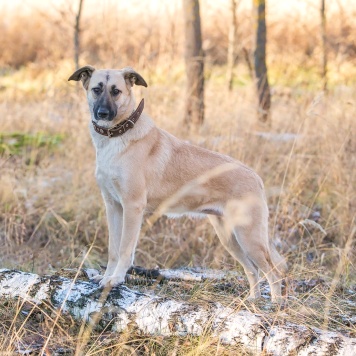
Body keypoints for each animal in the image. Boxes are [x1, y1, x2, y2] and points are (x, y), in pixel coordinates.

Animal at [69, 65, 286, 302]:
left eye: (116, 91)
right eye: (96, 89)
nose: (103, 114)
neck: (116, 139)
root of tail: (255, 176)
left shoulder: (132, 207)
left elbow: (125, 249)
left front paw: (116, 279)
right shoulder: (113, 206)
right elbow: (113, 250)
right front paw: (107, 277)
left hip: (248, 236)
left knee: (273, 272)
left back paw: (274, 304)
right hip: (230, 238)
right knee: (252, 269)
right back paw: (253, 300)